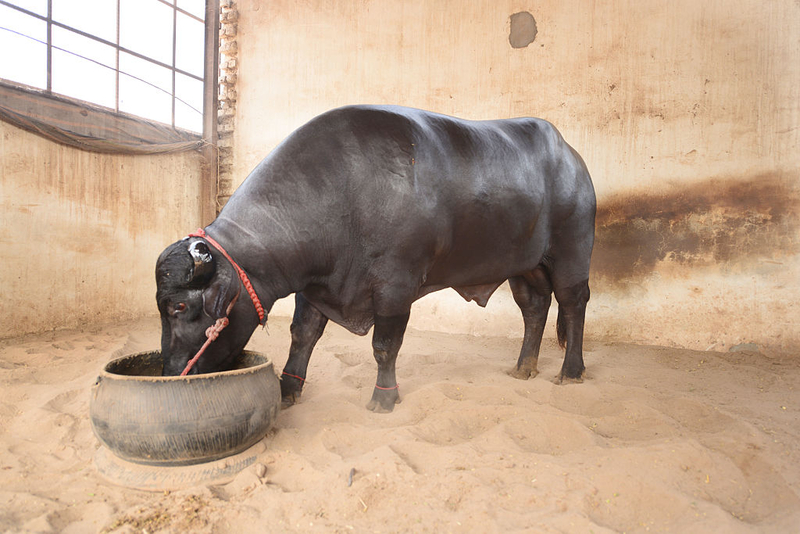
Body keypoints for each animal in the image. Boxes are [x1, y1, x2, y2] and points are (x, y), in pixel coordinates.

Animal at [156, 105, 592, 414]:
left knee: (573, 304)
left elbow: (384, 345)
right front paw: (288, 388)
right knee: (534, 308)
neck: (344, 195)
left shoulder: (395, 287)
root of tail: (573, 158)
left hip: (572, 252)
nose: (171, 373)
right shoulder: (315, 288)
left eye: (179, 306)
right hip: (526, 266)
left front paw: (384, 397)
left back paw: (571, 372)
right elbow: (303, 335)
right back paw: (524, 367)